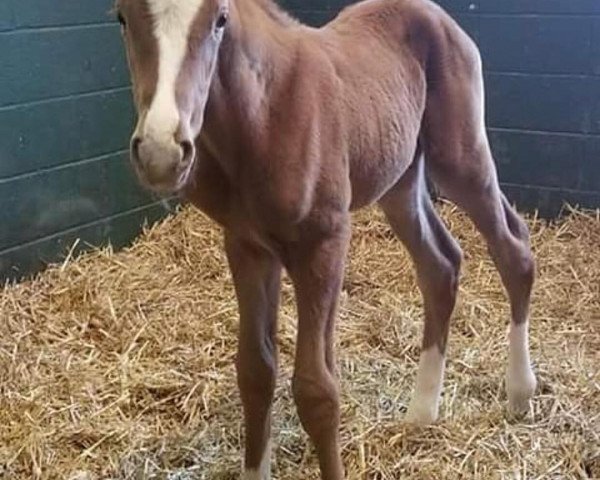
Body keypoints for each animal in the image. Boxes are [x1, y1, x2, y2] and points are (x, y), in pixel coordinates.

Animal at [115, 0, 536, 476]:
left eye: (219, 19)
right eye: (122, 17)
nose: (162, 153)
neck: (262, 117)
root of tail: (435, 15)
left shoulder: (324, 242)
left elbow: (317, 390)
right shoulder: (247, 245)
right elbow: (255, 372)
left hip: (459, 159)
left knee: (514, 250)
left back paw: (520, 393)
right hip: (399, 180)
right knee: (440, 264)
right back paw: (421, 413)